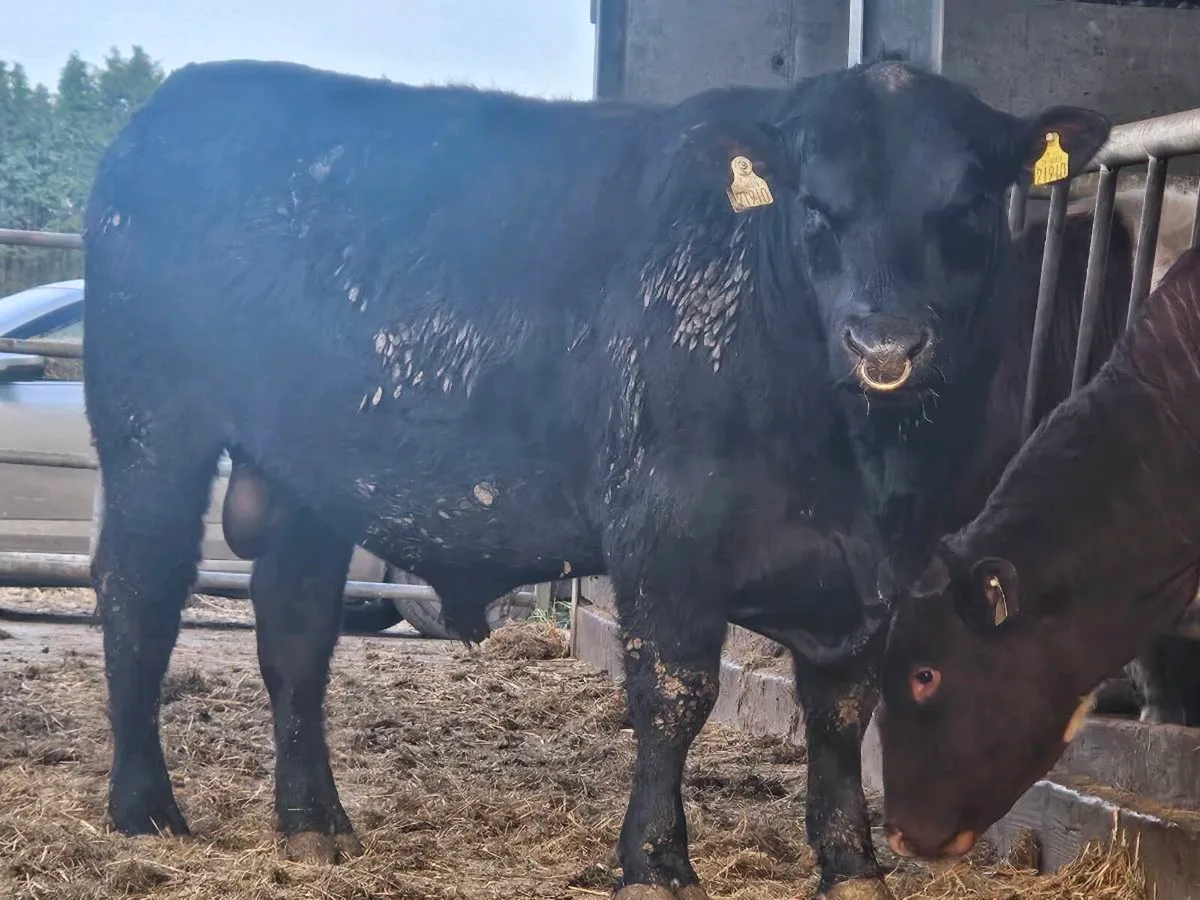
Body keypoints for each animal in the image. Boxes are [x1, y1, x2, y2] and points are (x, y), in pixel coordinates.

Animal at [81, 57, 1109, 900]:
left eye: (968, 205)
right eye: (816, 205)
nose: (884, 344)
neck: (859, 460)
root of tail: (173, 104)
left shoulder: (877, 569)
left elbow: (843, 711)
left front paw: (851, 863)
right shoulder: (664, 527)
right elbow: (674, 694)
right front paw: (656, 864)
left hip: (307, 476)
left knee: (294, 631)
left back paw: (315, 826)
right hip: (149, 428)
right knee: (139, 594)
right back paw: (146, 809)